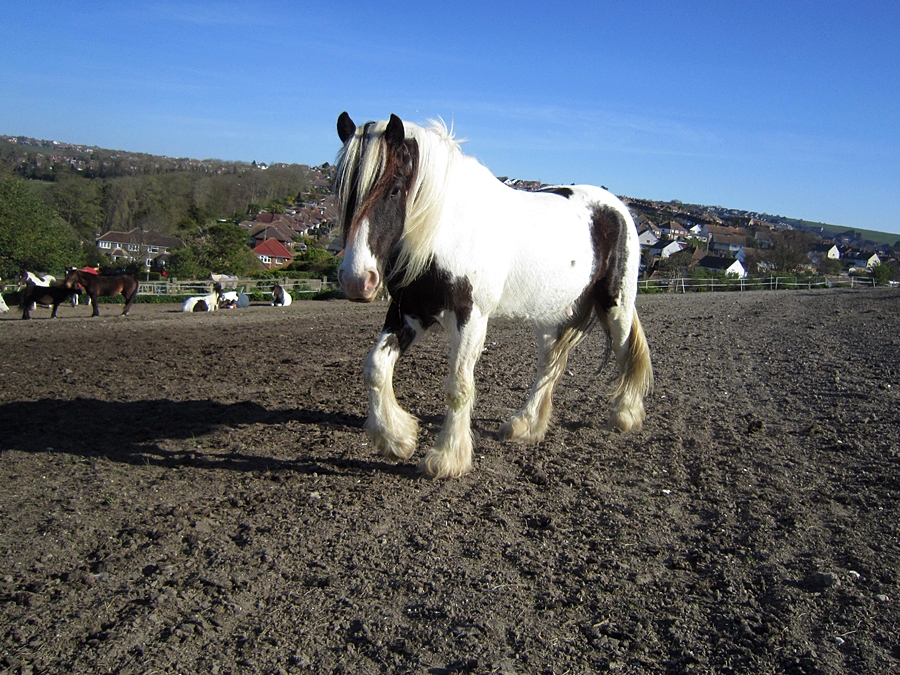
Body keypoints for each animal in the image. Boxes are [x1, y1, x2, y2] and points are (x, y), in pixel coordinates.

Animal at [334, 112, 653, 479]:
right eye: (341, 191)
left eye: (395, 189)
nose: (356, 280)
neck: (446, 228)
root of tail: (616, 207)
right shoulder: (409, 312)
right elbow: (375, 367)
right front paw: (396, 438)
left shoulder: (470, 316)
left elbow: (458, 386)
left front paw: (447, 458)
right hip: (551, 315)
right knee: (549, 366)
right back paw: (525, 425)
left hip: (617, 305)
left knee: (625, 352)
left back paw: (625, 415)